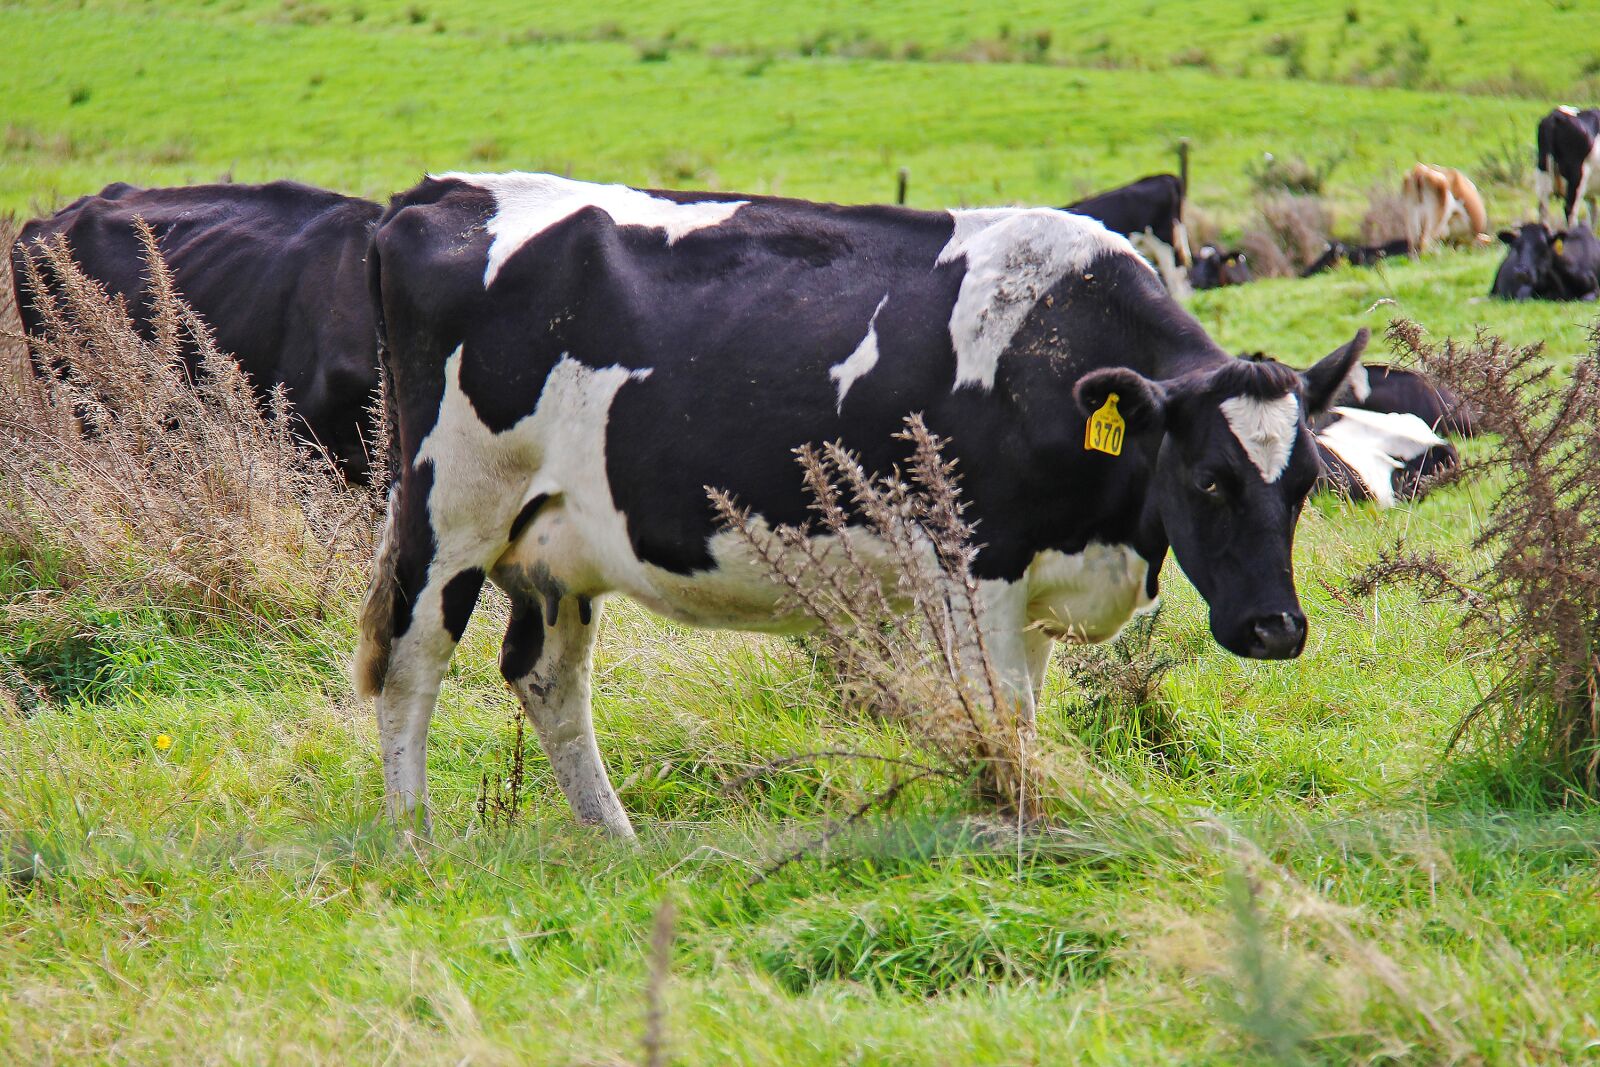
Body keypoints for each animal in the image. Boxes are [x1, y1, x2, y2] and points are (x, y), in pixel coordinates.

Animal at [351, 170, 1369, 835]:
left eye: (1306, 485)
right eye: (1209, 478)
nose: (1277, 627)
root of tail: (441, 191)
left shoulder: (1041, 582)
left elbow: (1026, 714)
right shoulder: (975, 569)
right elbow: (1001, 715)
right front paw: (1010, 825)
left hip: (555, 545)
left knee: (547, 678)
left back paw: (616, 841)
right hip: (450, 514)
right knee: (411, 661)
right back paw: (414, 841)